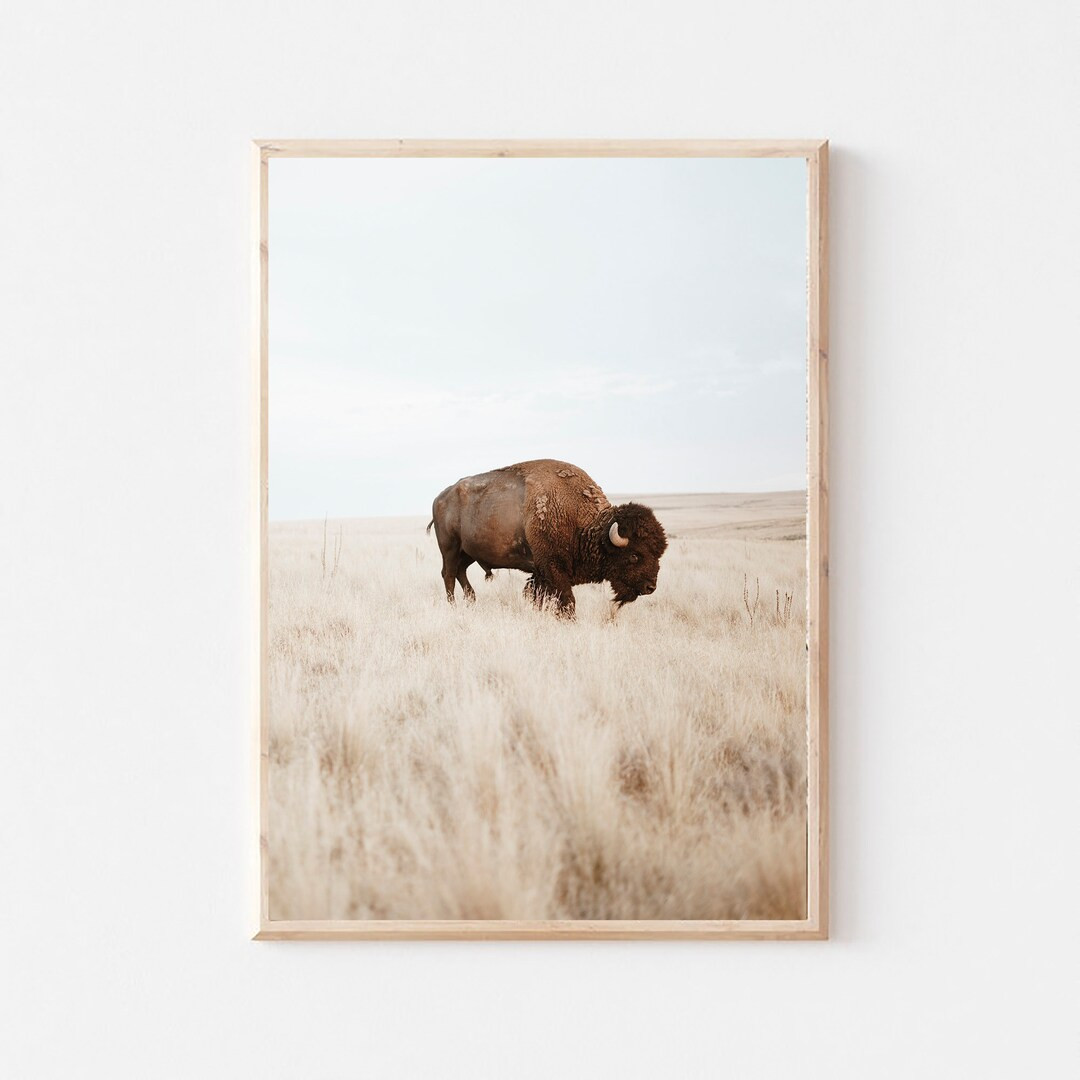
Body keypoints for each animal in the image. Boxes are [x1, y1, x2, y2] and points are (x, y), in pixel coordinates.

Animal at [426, 459, 667, 616]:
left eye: (659, 554)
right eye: (634, 555)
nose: (650, 587)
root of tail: (440, 497)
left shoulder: (541, 573)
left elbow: (539, 596)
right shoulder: (553, 568)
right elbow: (567, 600)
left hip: (468, 553)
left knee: (460, 572)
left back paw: (471, 601)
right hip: (450, 549)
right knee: (449, 575)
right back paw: (453, 606)